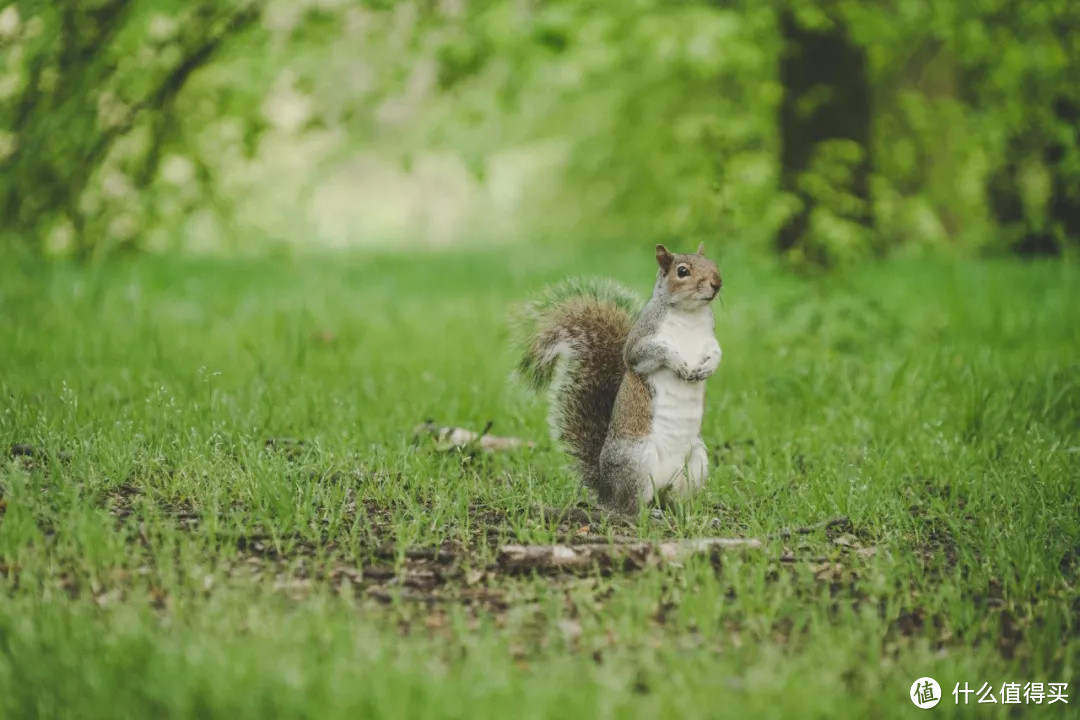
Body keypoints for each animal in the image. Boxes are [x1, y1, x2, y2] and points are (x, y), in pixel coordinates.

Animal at [516, 246, 721, 511]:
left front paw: (707, 369)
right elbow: (655, 353)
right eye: (682, 271)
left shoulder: (710, 339)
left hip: (696, 461)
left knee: (670, 499)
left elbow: (716, 353)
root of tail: (606, 490)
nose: (717, 283)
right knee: (631, 507)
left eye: (714, 264)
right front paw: (680, 364)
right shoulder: (639, 345)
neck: (690, 315)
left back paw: (683, 511)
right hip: (637, 461)